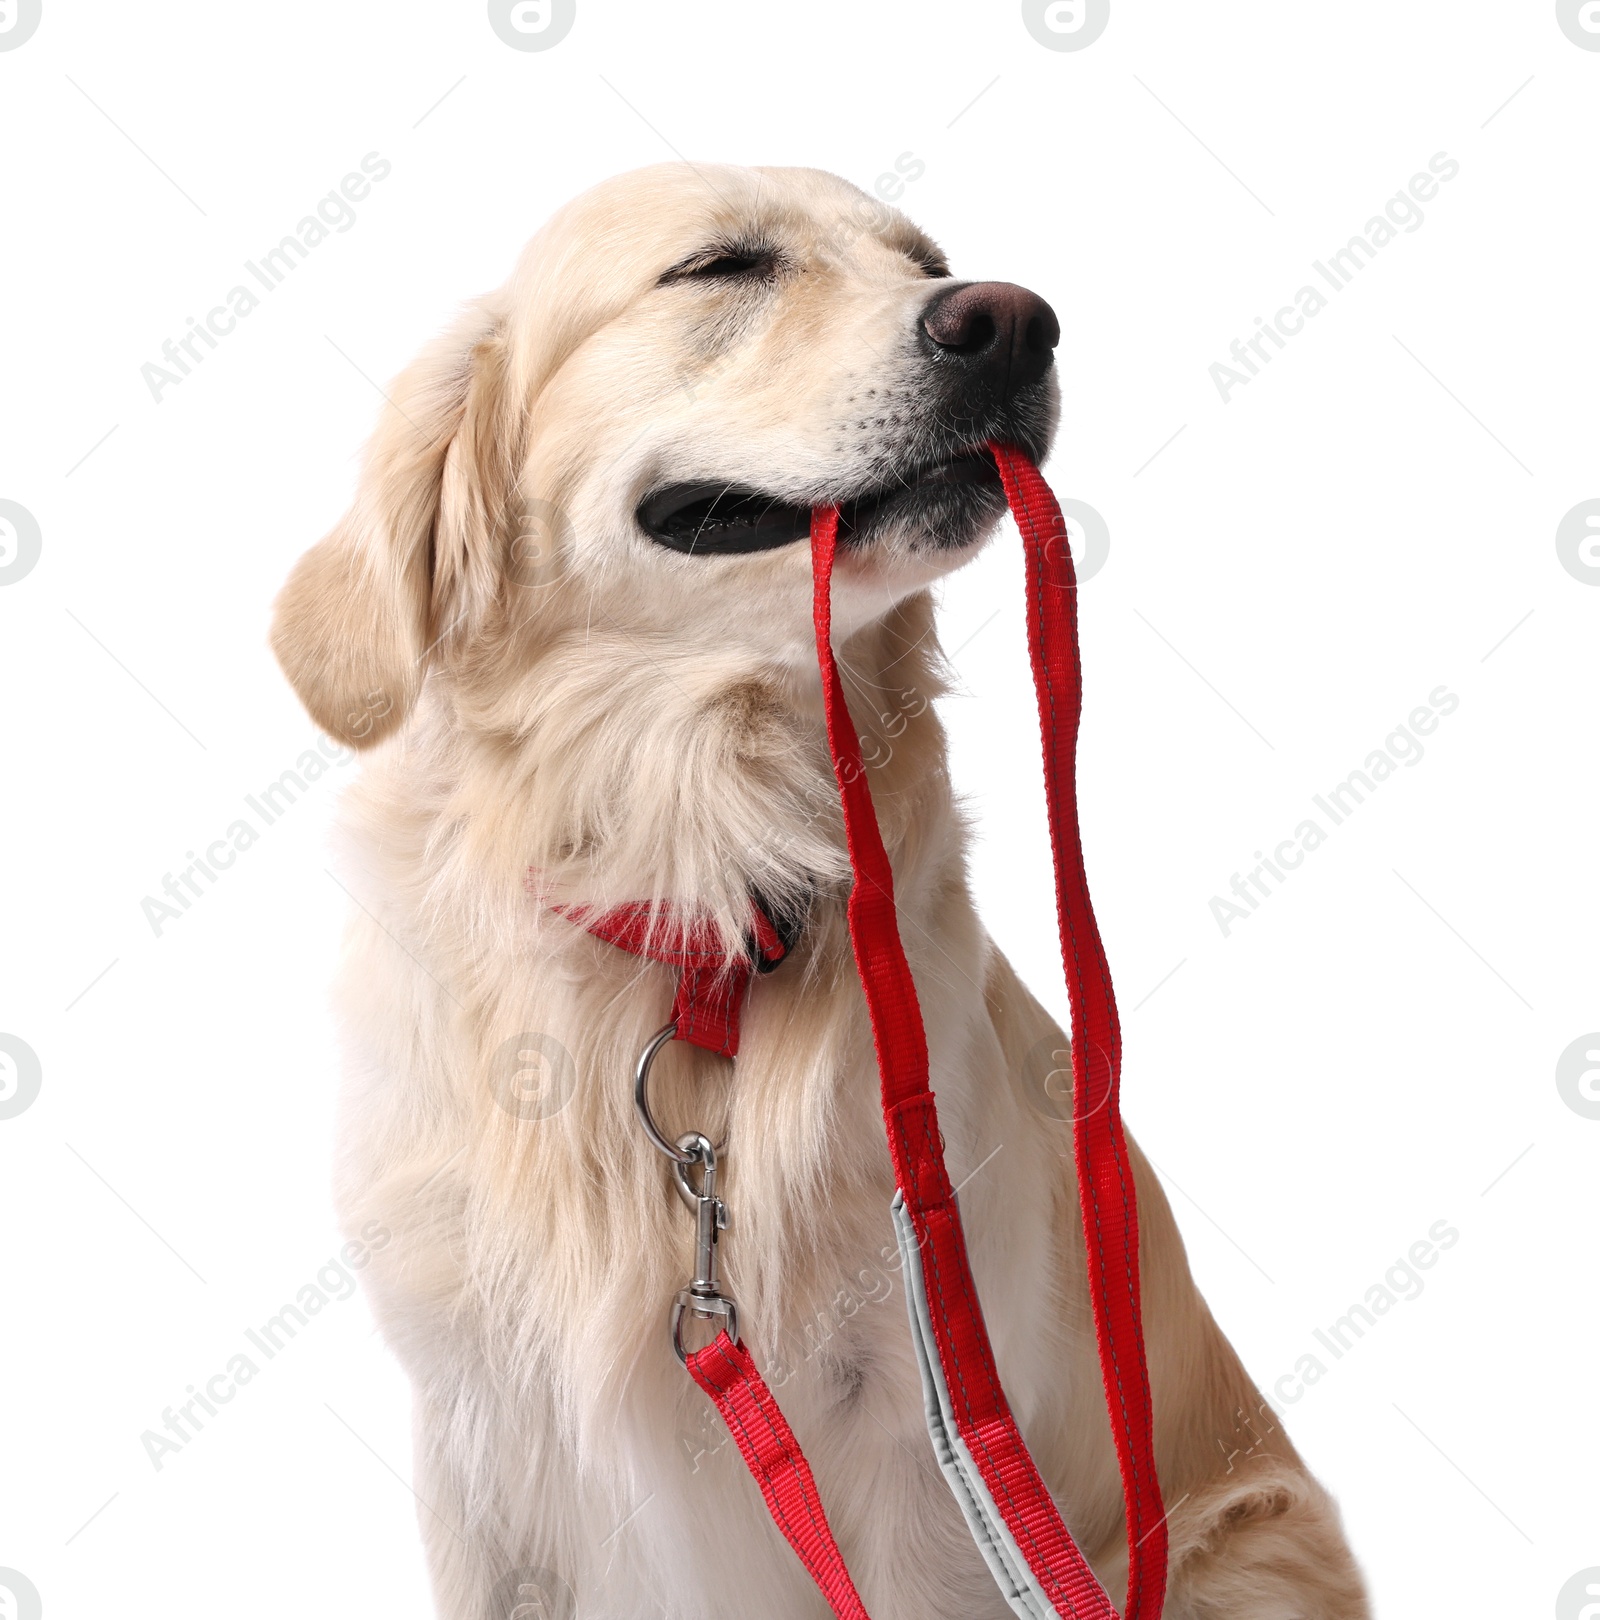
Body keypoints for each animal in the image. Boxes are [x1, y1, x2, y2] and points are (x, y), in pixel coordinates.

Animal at [272, 167, 1360, 1620]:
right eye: (722, 265)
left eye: (927, 258)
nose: (1014, 322)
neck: (702, 893)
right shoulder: (485, 1447)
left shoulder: (924, 1446)